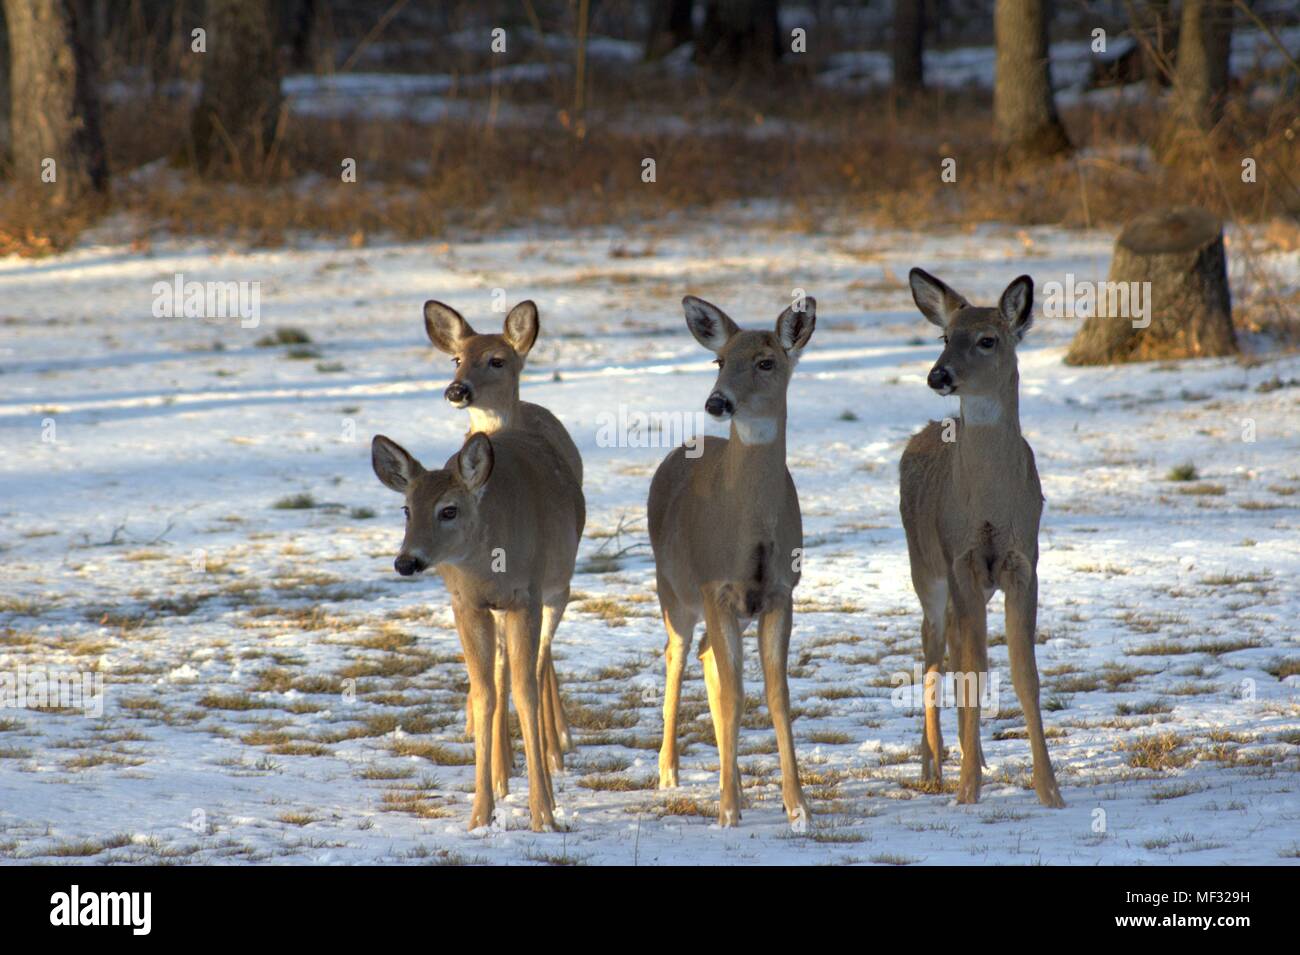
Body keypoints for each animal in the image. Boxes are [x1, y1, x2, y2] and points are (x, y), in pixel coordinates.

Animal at [371, 428, 585, 831]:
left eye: (448, 510)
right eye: (407, 509)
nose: (406, 561)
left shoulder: (526, 598)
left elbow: (526, 692)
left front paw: (543, 814)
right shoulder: (466, 605)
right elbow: (484, 693)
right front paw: (480, 814)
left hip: (557, 592)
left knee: (537, 669)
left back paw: (552, 766)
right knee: (503, 674)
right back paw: (503, 776)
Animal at [423, 300, 582, 779]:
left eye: (496, 360)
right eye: (456, 359)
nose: (457, 390)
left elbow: (524, 666)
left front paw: (538, 754)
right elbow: (494, 672)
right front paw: (498, 763)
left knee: (539, 660)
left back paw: (557, 741)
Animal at [647, 293, 811, 831]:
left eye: (766, 362)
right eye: (719, 361)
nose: (716, 402)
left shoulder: (781, 592)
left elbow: (777, 696)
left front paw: (797, 807)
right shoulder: (714, 586)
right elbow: (735, 695)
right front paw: (727, 811)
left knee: (705, 659)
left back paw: (730, 777)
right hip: (672, 591)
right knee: (677, 654)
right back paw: (669, 772)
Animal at [904, 267, 1066, 805]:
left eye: (987, 339)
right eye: (943, 337)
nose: (938, 375)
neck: (992, 504)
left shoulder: (1023, 562)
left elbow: (1023, 673)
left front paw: (1050, 790)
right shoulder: (962, 560)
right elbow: (972, 671)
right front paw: (967, 791)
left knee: (955, 653)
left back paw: (971, 757)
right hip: (925, 571)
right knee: (934, 656)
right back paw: (934, 768)